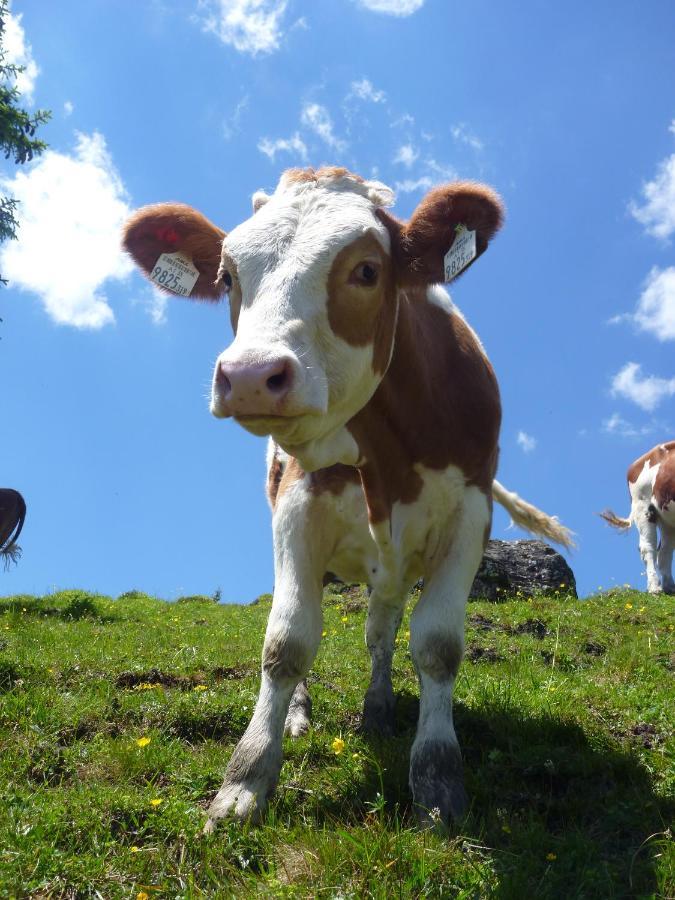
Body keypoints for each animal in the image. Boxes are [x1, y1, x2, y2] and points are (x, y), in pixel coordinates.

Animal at [124, 167, 572, 828]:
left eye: (366, 270)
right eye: (228, 276)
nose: (250, 376)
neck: (386, 456)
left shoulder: (471, 514)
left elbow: (436, 645)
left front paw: (438, 778)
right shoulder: (295, 510)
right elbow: (287, 641)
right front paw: (244, 780)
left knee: (382, 627)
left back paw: (379, 707)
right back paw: (301, 713)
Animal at [604, 442, 675, 596]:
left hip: (666, 518)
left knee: (664, 551)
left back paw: (669, 587)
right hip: (643, 507)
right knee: (648, 548)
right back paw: (655, 588)